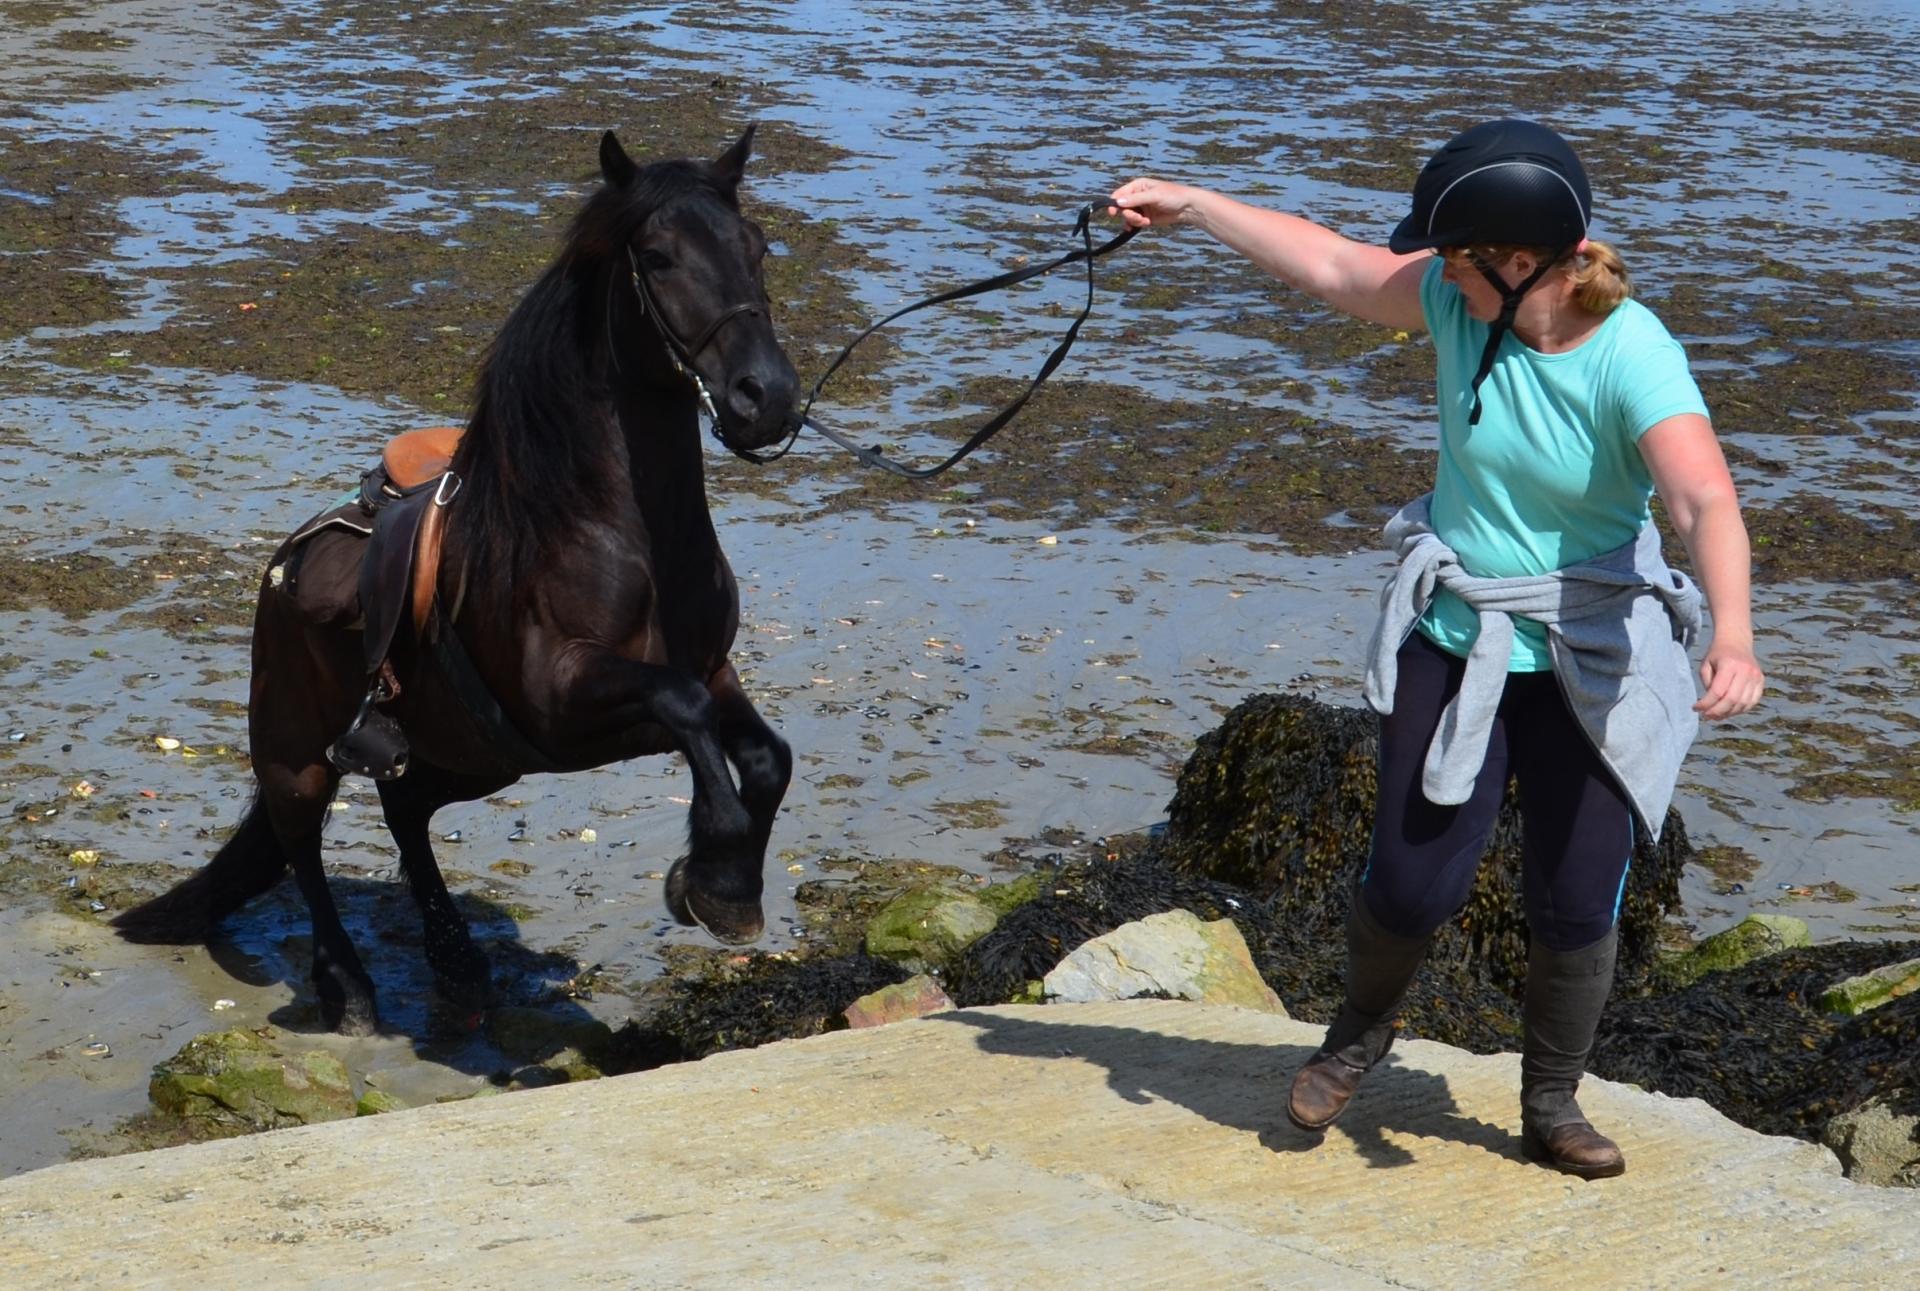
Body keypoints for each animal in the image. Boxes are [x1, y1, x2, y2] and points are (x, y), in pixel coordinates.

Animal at [114, 130, 802, 1037]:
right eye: (657, 257)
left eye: (756, 247)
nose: (769, 398)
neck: (622, 534)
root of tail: (284, 564)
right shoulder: (567, 694)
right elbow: (688, 714)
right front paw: (715, 877)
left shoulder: (703, 674)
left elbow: (764, 755)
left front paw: (729, 886)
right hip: (298, 750)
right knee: (304, 842)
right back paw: (350, 986)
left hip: (473, 754)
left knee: (406, 811)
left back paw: (457, 959)